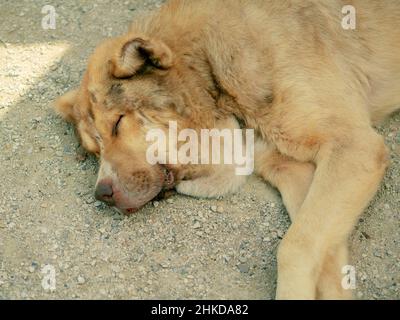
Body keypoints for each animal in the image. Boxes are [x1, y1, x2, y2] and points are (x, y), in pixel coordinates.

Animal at [54, 0, 400, 300]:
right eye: (94, 152)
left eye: (117, 124)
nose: (102, 194)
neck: (209, 72)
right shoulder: (298, 172)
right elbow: (323, 259)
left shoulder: (356, 147)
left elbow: (293, 247)